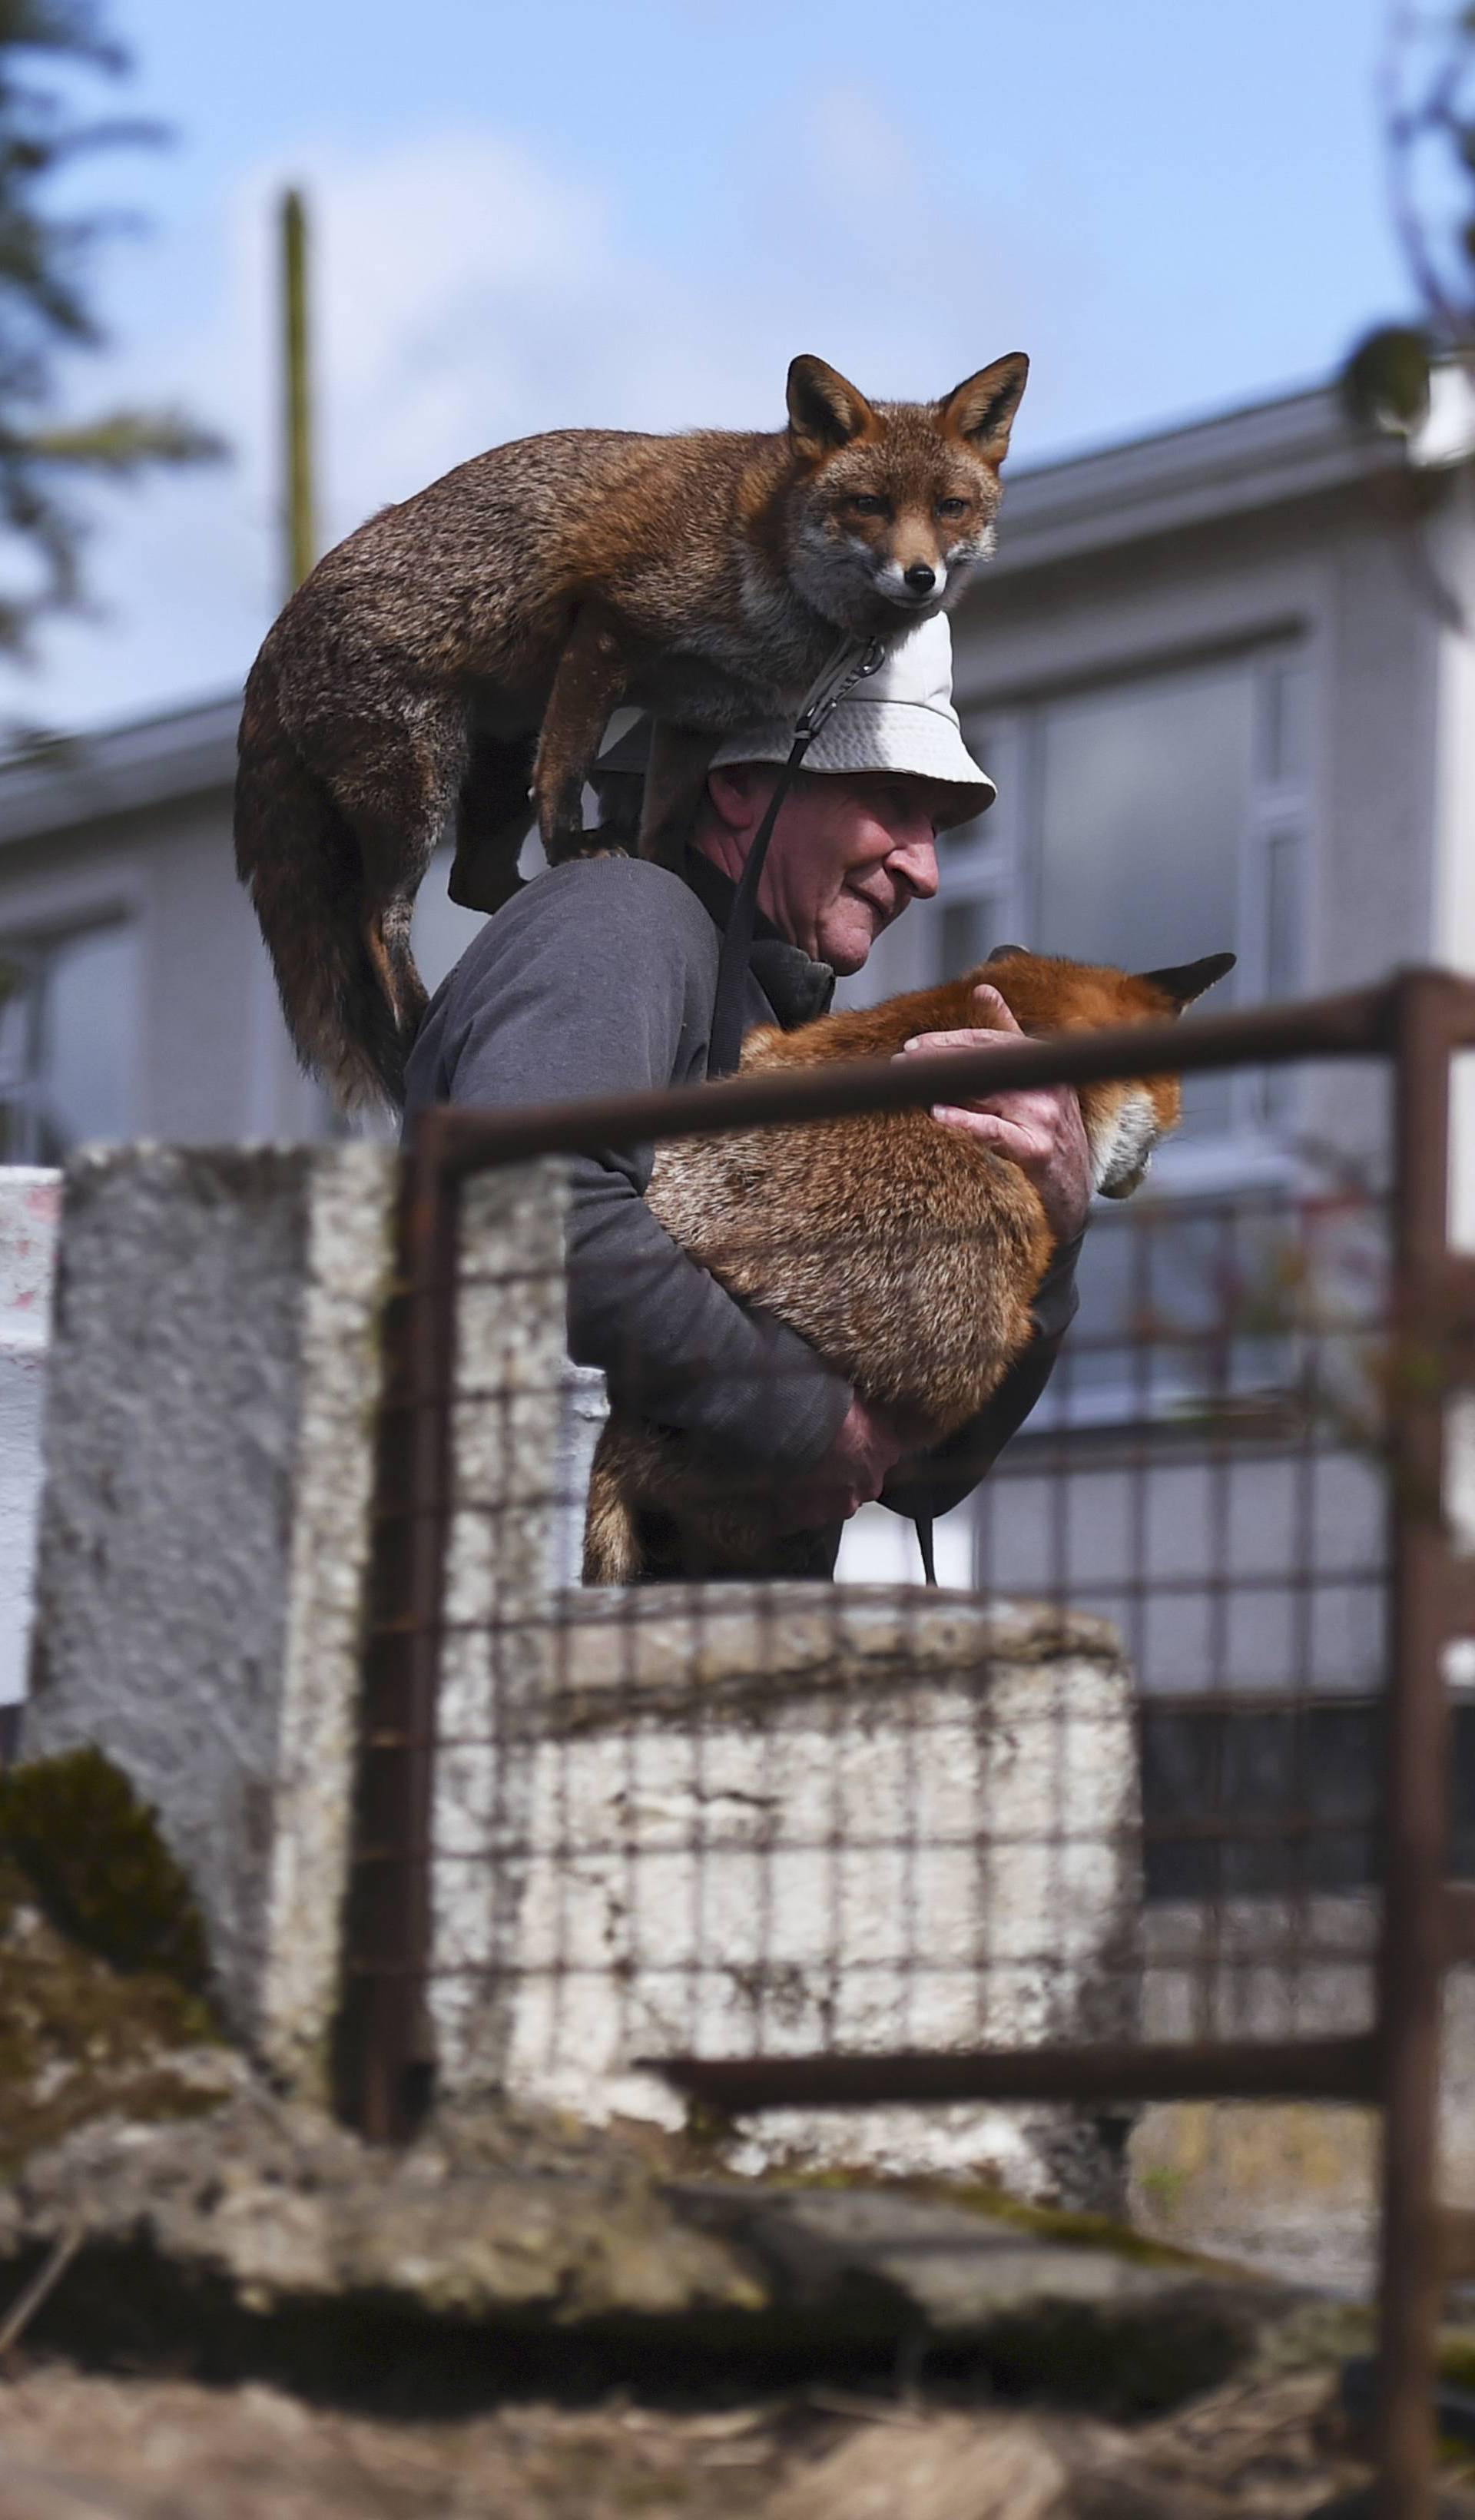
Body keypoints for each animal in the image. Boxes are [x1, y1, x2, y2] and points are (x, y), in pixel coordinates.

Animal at [235, 350, 1029, 1109]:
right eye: (869, 506)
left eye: (951, 508)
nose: (920, 576)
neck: (764, 566)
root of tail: (276, 631)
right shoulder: (609, 627)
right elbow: (569, 767)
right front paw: (575, 844)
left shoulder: (699, 709)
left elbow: (665, 829)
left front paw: (678, 884)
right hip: (421, 786)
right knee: (380, 917)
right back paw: (418, 1012)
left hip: (496, 767)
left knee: (473, 882)